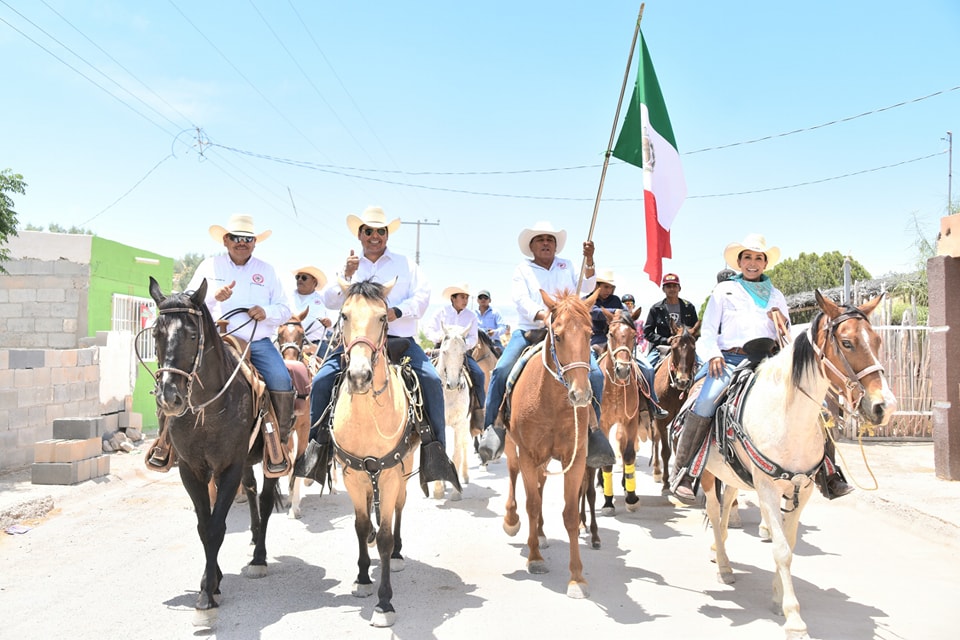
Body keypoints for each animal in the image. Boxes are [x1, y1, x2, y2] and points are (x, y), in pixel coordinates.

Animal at [146, 278, 288, 628]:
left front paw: (206, 598)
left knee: (265, 501)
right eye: (156, 334)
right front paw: (211, 582)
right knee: (251, 492)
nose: (169, 397)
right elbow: (204, 525)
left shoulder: (229, 467)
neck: (207, 409)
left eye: (192, 335)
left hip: (270, 461)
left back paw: (259, 557)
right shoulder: (192, 470)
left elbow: (216, 527)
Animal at [498, 290, 596, 600]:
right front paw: (535, 559)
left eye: (590, 334)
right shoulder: (528, 454)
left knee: (540, 485)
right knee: (515, 476)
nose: (580, 395)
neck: (551, 400)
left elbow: (570, 514)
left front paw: (577, 578)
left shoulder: (574, 459)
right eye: (560, 336)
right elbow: (531, 504)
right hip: (514, 448)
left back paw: (540, 533)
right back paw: (512, 521)